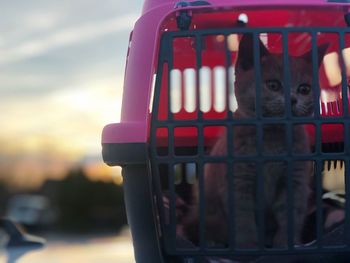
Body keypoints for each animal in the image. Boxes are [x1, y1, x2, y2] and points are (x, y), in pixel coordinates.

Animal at [185, 33, 330, 250]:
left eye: (304, 89)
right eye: (273, 85)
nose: (292, 99)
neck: (272, 139)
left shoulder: (294, 181)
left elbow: (290, 215)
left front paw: (285, 244)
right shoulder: (238, 182)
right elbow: (243, 219)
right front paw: (249, 245)